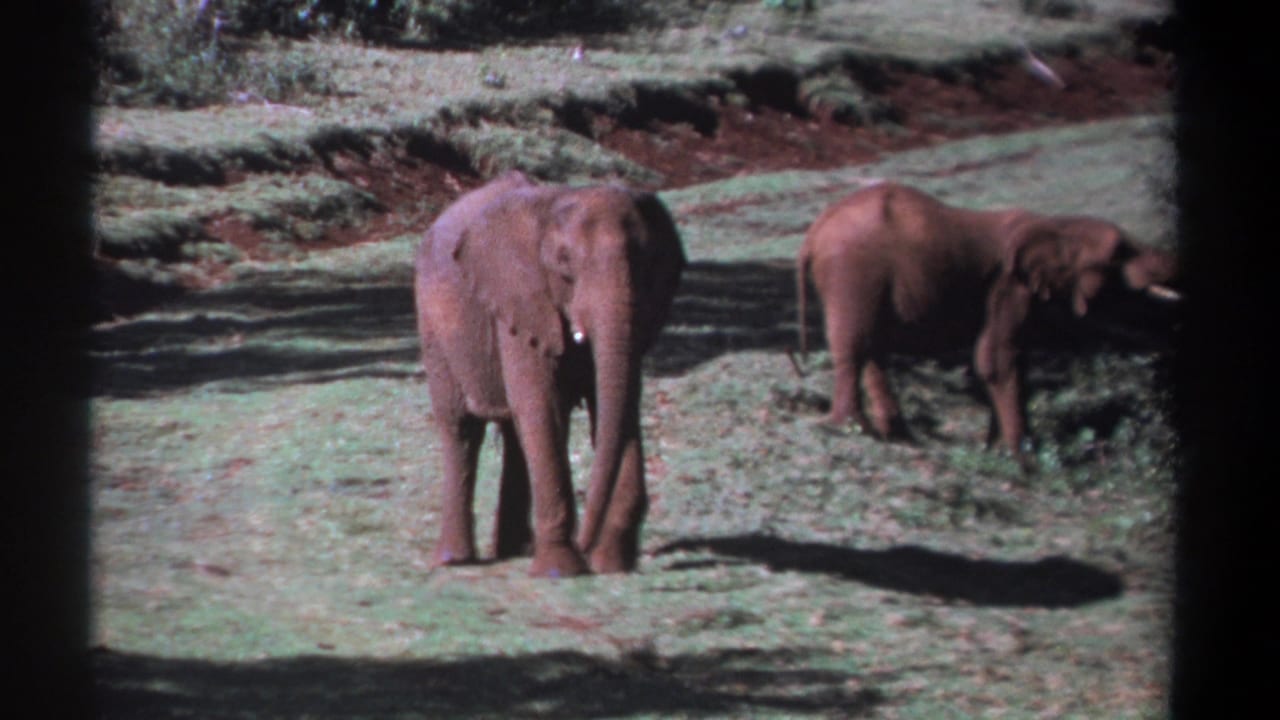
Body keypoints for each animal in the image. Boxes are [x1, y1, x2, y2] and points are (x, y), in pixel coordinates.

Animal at [414, 172, 686, 577]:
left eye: (646, 260)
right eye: (564, 263)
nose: (587, 546)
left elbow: (617, 406)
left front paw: (611, 564)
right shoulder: (518, 300)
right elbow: (541, 406)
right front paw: (563, 571)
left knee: (513, 433)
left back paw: (515, 549)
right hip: (434, 328)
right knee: (461, 428)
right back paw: (454, 560)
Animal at [795, 181, 1179, 464]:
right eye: (1118, 254)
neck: (1057, 226)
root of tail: (815, 231)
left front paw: (996, 451)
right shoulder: (1009, 286)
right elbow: (996, 360)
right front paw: (1022, 460)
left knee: (872, 348)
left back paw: (898, 436)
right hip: (853, 270)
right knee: (854, 347)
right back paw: (850, 428)